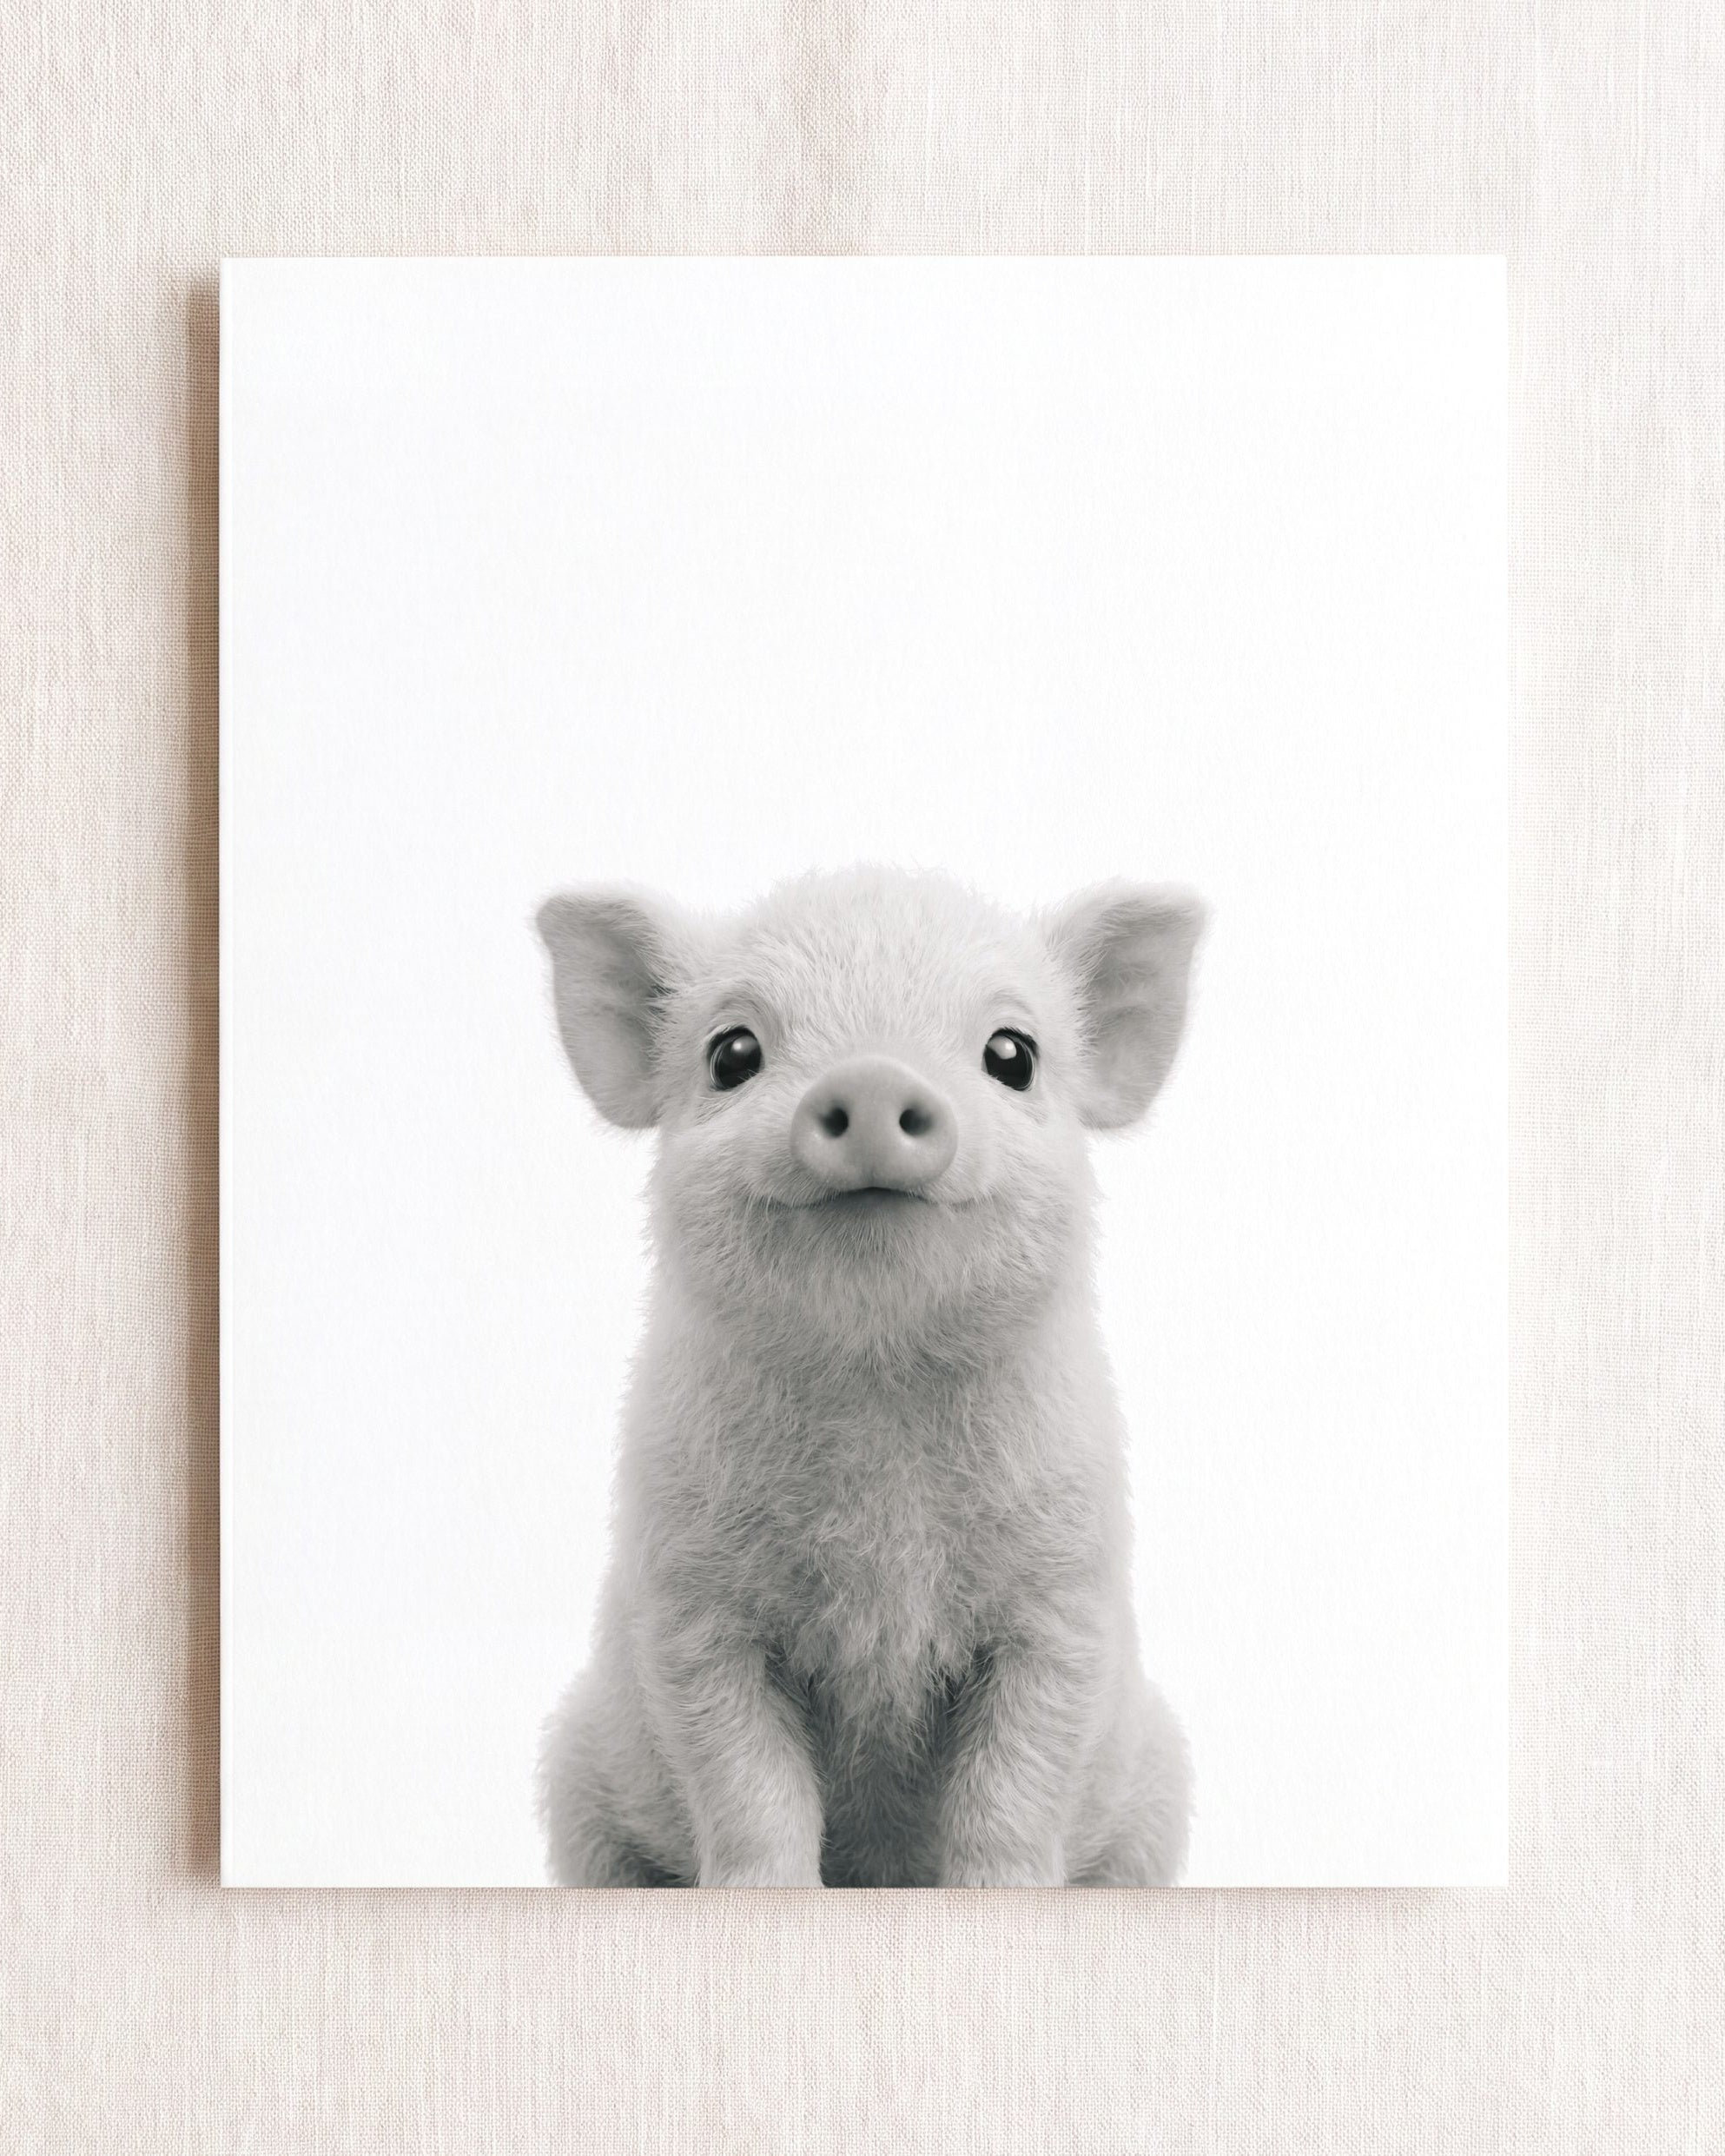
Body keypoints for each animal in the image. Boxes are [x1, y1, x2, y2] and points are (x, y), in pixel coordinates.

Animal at [534, 864, 1204, 1887]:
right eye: (732, 1053)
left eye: (1013, 1055)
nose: (874, 1074)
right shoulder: (690, 1604)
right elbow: (747, 1782)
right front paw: (768, 1896)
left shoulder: (1064, 1596)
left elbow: (1015, 1784)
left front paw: (999, 1894)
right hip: (576, 1781)